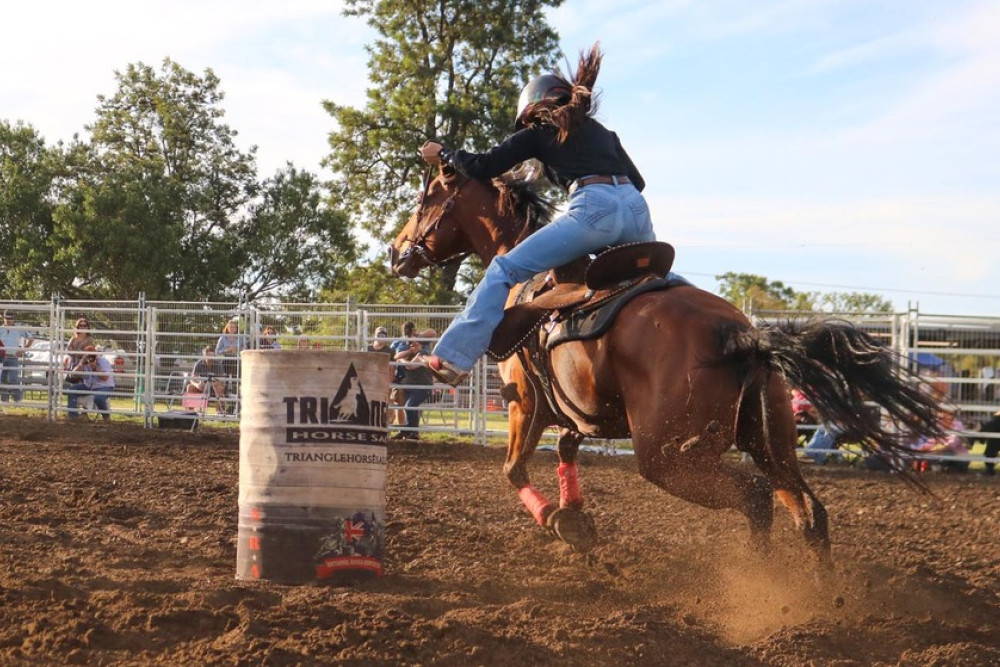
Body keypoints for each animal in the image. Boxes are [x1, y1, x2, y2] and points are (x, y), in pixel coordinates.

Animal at [388, 163, 944, 564]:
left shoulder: (525, 404)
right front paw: (577, 518)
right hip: (771, 442)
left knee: (757, 500)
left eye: (424, 199)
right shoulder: (576, 415)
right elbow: (566, 450)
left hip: (668, 456)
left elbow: (514, 469)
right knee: (810, 514)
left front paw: (561, 523)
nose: (396, 252)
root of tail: (743, 334)